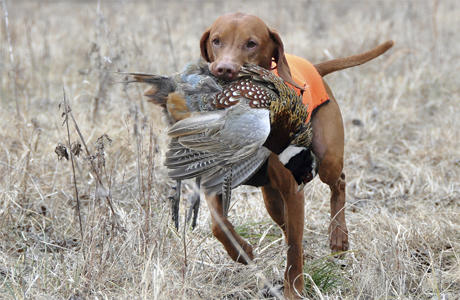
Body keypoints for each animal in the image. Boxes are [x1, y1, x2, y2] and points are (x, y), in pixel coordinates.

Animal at [199, 12, 394, 298]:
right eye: (216, 40)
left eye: (251, 43)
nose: (224, 69)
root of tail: (315, 68)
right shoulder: (217, 180)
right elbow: (218, 224)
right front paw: (241, 252)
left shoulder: (293, 190)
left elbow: (294, 244)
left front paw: (294, 289)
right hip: (271, 199)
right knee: (286, 223)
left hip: (328, 160)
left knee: (338, 182)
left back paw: (338, 237)